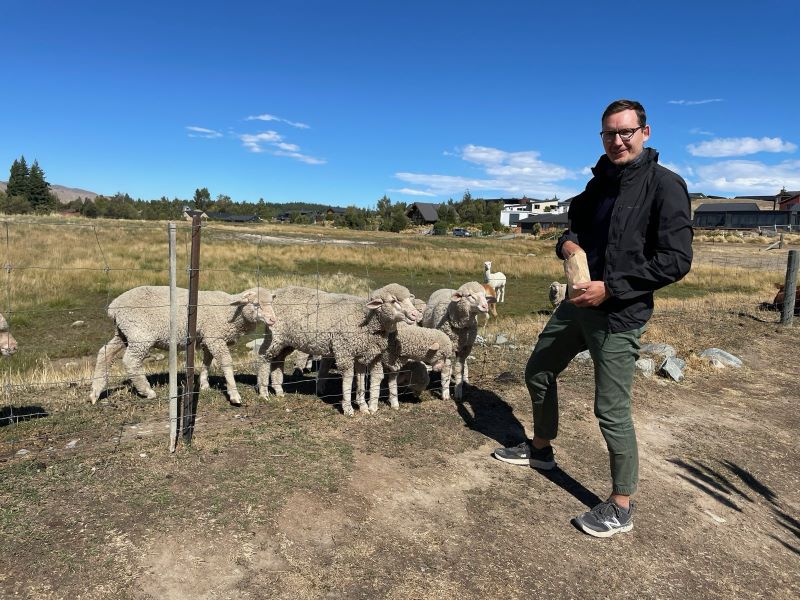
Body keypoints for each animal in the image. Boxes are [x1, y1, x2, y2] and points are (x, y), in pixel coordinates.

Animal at [89, 284, 278, 406]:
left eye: (272, 303)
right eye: (256, 304)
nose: (272, 320)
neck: (230, 311)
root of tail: (114, 307)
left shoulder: (207, 338)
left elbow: (207, 362)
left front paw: (204, 384)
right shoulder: (215, 337)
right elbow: (226, 363)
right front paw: (234, 394)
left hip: (123, 333)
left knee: (105, 354)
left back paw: (95, 393)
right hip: (140, 334)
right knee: (130, 361)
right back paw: (147, 391)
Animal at [256, 284, 422, 414]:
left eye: (409, 299)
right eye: (393, 301)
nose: (415, 314)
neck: (365, 319)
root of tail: (276, 293)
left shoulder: (362, 352)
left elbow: (360, 379)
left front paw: (363, 406)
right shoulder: (345, 351)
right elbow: (348, 379)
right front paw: (348, 408)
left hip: (287, 341)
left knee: (278, 360)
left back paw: (278, 390)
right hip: (275, 335)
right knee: (263, 357)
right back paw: (264, 392)